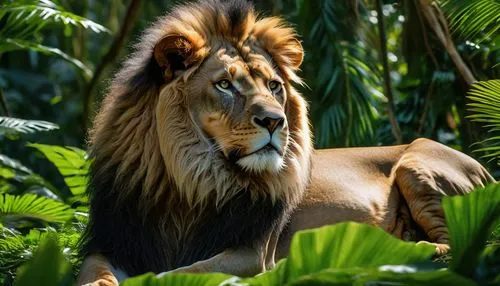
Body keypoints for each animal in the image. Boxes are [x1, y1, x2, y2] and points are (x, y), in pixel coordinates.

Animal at [76, 0, 494, 286]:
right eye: (224, 84)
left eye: (274, 86)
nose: (275, 121)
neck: (187, 184)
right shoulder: (110, 243)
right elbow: (94, 274)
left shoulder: (251, 254)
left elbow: (177, 273)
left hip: (419, 162)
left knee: (461, 245)